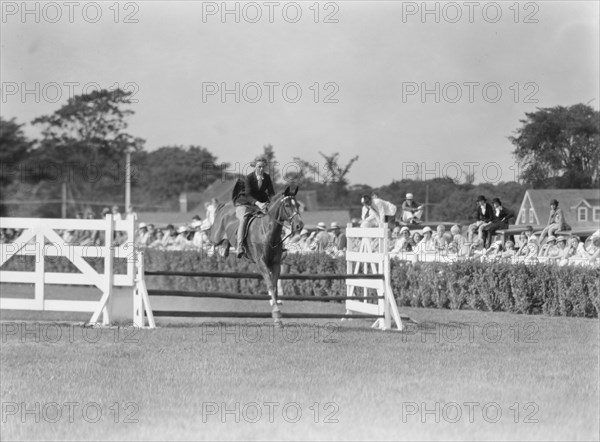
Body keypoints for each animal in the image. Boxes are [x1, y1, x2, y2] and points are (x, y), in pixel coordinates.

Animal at [210, 186, 304, 322]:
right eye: (287, 205)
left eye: (297, 204)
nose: (299, 225)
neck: (268, 232)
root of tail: (224, 206)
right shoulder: (261, 263)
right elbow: (269, 284)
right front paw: (276, 312)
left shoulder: (275, 264)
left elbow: (274, 287)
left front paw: (276, 306)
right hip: (215, 236)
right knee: (211, 242)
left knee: (224, 247)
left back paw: (226, 248)